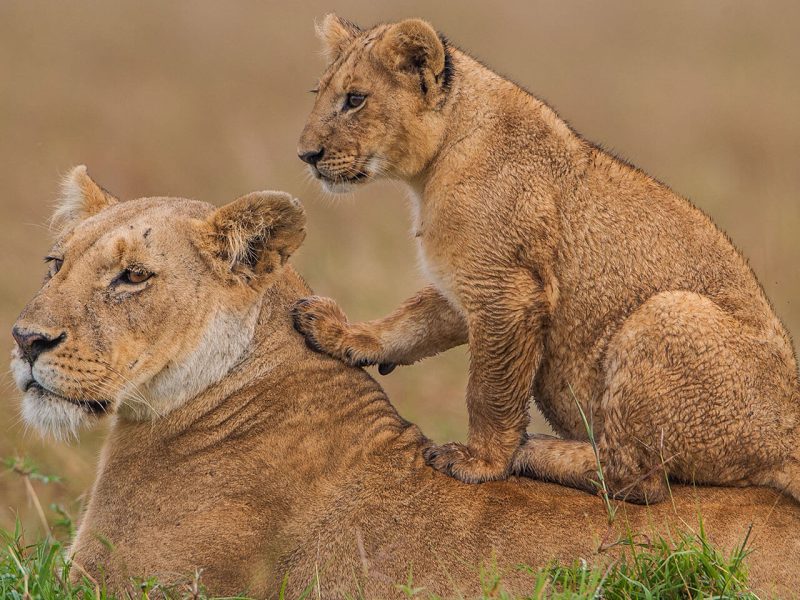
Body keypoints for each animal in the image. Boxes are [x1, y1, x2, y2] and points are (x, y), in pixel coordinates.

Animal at [294, 15, 800, 503]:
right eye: (319, 94)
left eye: (355, 99)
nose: (306, 155)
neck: (434, 166)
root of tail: (787, 443)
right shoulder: (467, 282)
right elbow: (412, 322)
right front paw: (342, 333)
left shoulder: (508, 291)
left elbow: (489, 391)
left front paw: (481, 461)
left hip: (668, 311)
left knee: (639, 480)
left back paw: (532, 450)